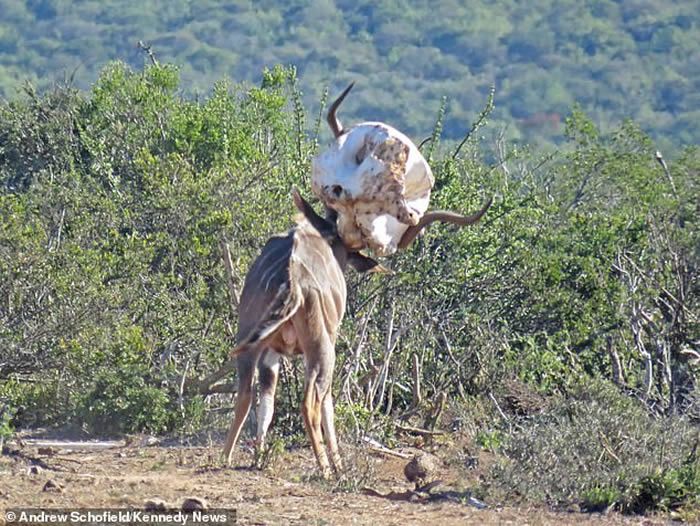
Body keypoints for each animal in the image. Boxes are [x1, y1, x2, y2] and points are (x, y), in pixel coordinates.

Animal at [223, 192, 382, 480]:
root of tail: (292, 278)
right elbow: (328, 403)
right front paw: (339, 466)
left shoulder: (271, 352)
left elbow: (267, 401)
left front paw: (259, 457)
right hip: (322, 350)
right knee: (311, 403)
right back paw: (326, 469)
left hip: (249, 343)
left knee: (245, 394)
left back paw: (226, 457)